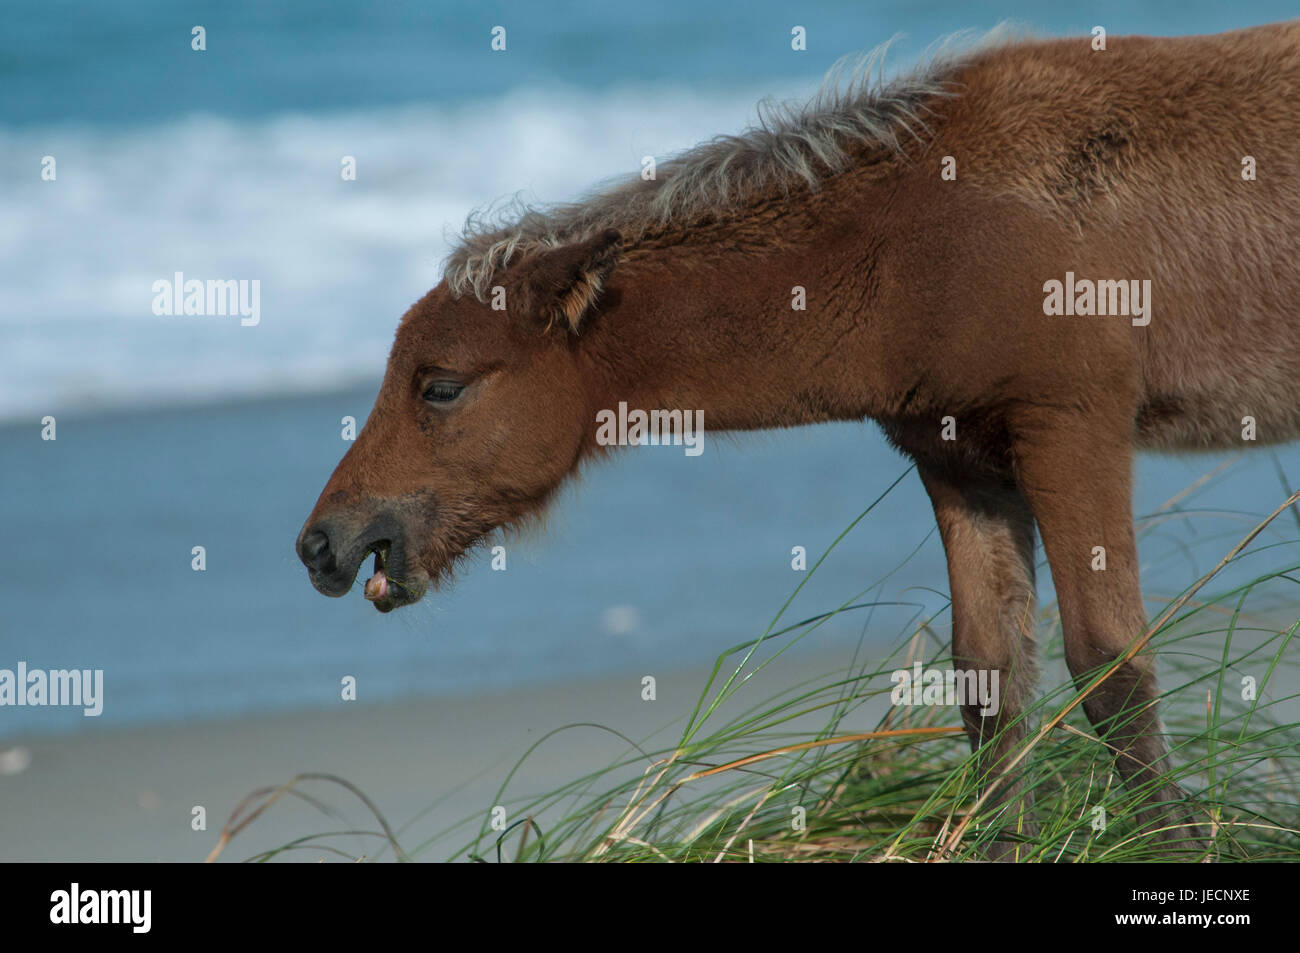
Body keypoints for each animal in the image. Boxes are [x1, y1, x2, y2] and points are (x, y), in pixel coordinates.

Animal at [297, 21, 1300, 858]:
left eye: (441, 386)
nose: (324, 542)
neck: (929, 233)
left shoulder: (1072, 425)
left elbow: (1112, 667)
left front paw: (1171, 851)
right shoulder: (959, 460)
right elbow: (990, 678)